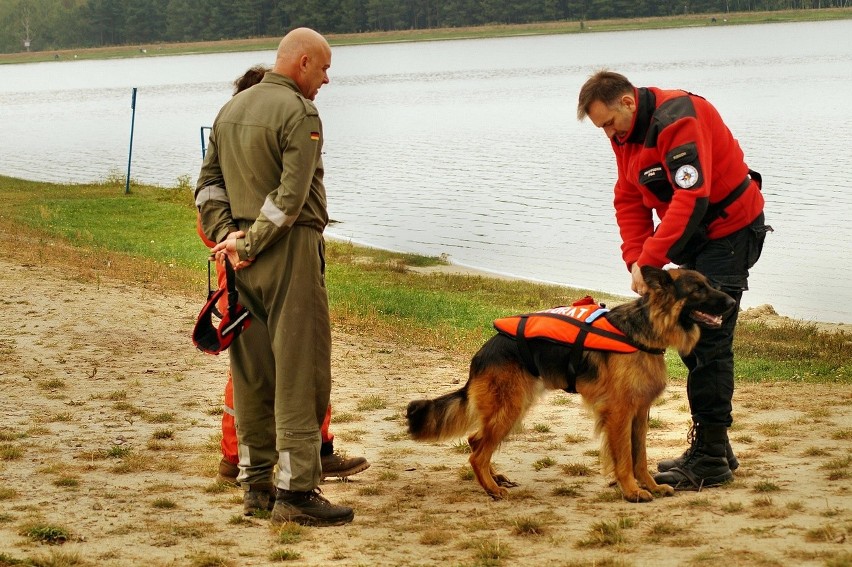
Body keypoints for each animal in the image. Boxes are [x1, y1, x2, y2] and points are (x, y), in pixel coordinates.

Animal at [404, 268, 732, 504]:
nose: (732, 303)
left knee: (476, 441)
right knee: (476, 452)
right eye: (698, 289)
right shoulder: (620, 413)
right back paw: (491, 489)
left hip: (512, 407)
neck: (644, 329)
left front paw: (650, 485)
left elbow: (640, 456)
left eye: (709, 284)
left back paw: (493, 479)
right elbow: (625, 457)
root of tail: (483, 352)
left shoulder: (640, 412)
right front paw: (631, 491)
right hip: (510, 408)